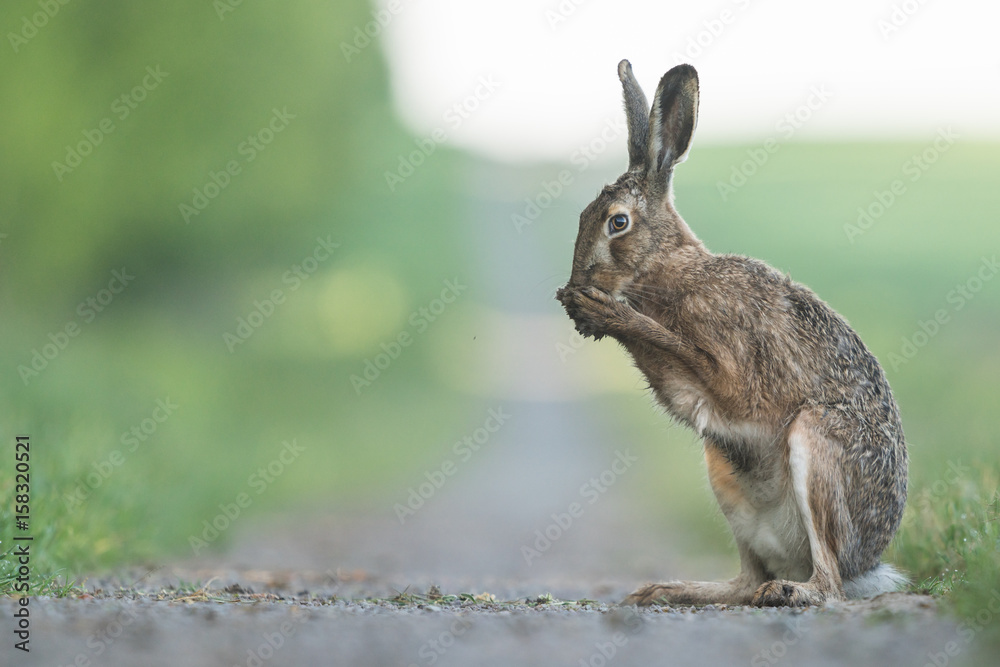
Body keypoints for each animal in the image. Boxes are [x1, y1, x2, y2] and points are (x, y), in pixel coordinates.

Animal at [555, 60, 908, 607]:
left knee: (827, 584)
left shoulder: (737, 371)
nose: (577, 283)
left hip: (818, 445)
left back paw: (788, 592)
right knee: (744, 582)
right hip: (722, 475)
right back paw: (664, 590)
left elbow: (674, 349)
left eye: (618, 222)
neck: (671, 268)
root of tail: (866, 565)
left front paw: (603, 313)